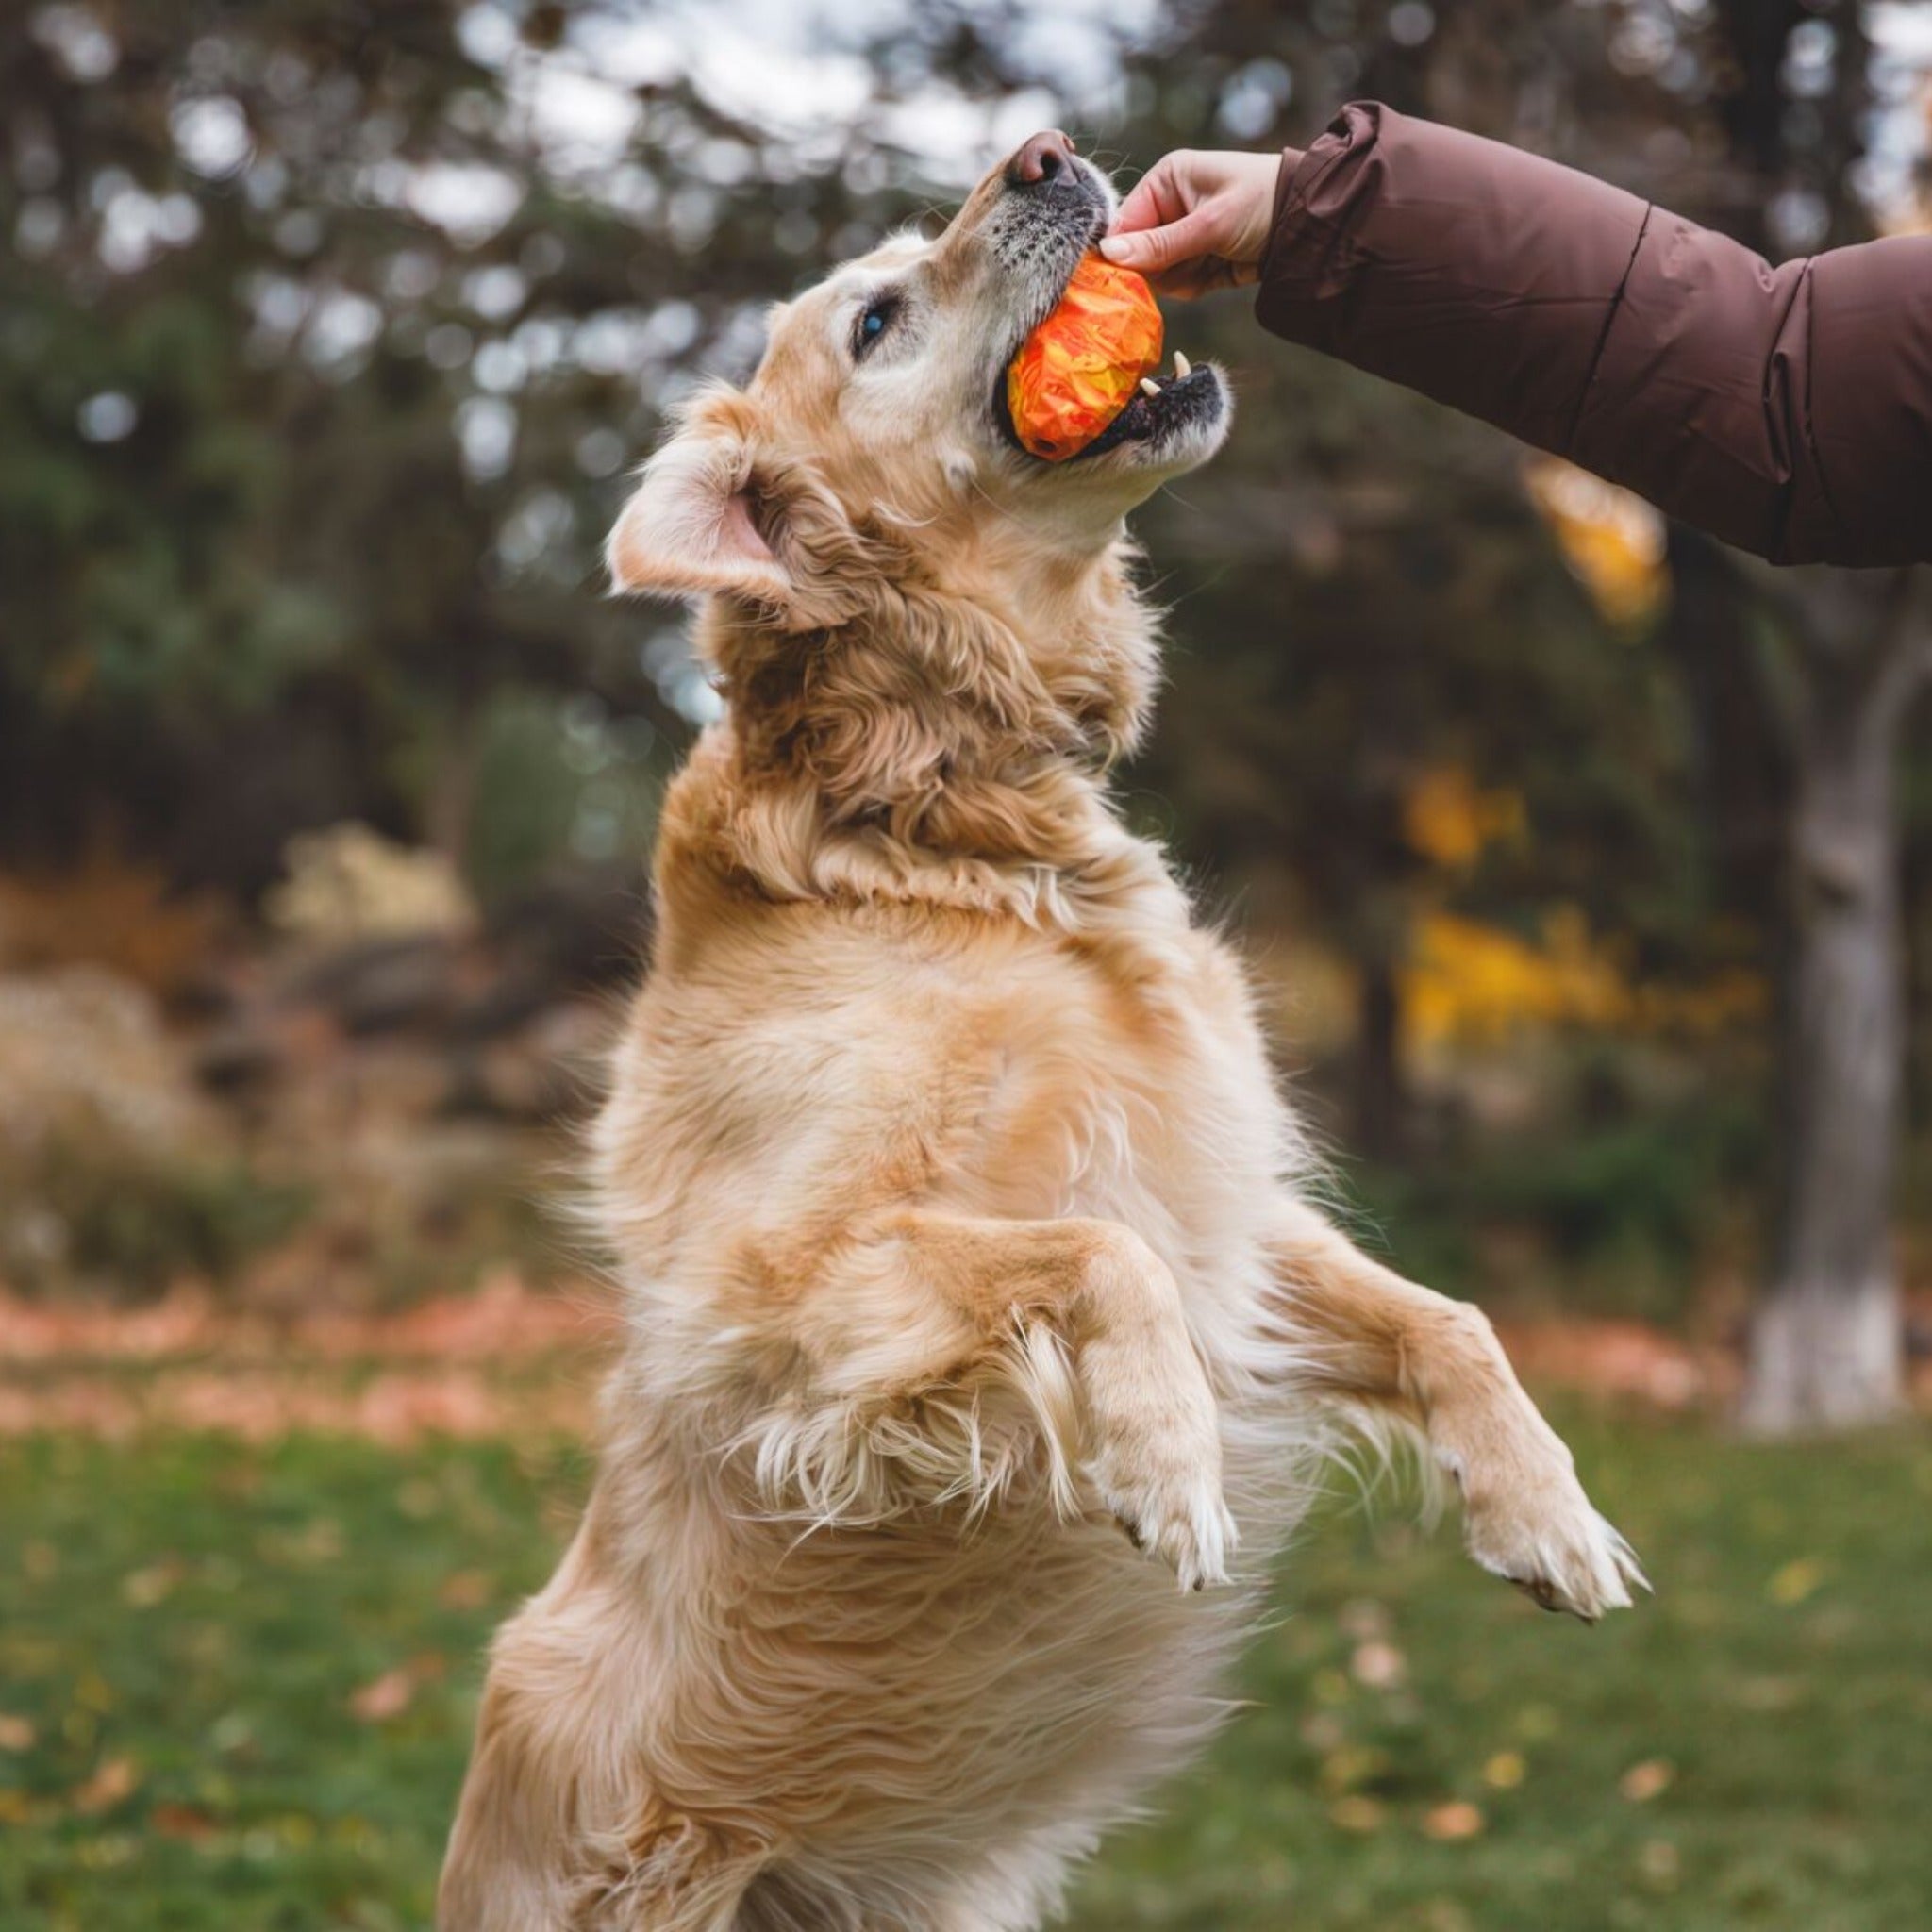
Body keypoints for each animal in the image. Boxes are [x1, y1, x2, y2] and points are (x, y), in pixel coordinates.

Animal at [441, 132, 1645, 1932]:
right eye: (875, 319)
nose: (1048, 153)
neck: (942, 817)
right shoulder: (768, 1292)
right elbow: (1090, 1252)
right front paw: (1168, 1461)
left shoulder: (1219, 1197)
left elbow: (1451, 1315)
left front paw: (1544, 1512)